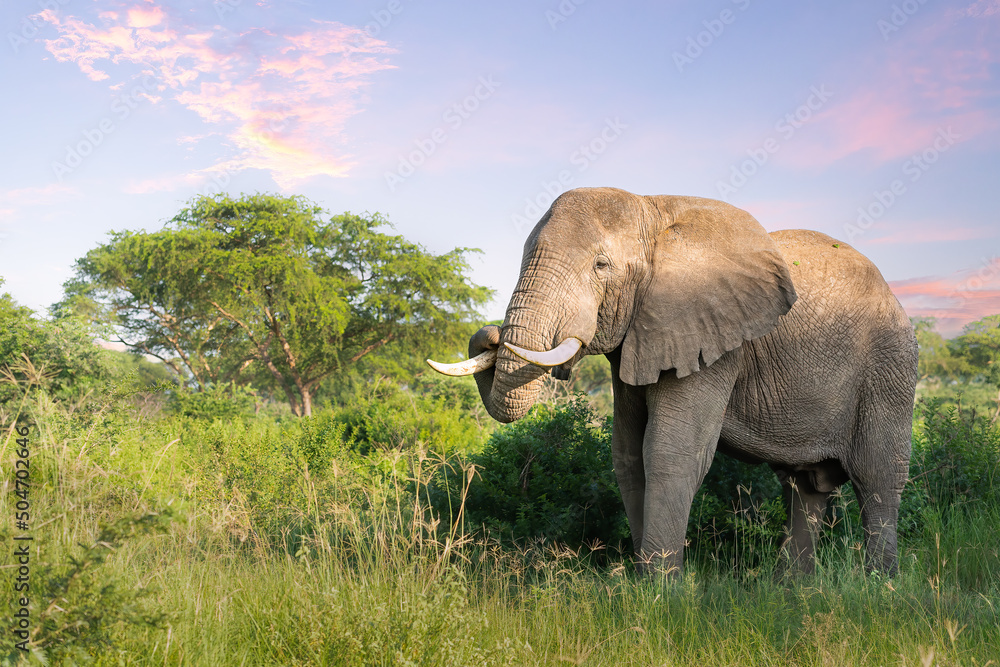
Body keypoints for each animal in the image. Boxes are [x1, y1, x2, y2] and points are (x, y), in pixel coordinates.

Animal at [428, 187, 918, 576]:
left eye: (601, 265)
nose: (490, 334)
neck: (652, 210)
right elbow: (628, 455)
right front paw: (643, 583)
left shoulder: (711, 338)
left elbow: (669, 453)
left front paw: (660, 594)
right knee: (805, 489)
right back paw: (793, 590)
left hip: (888, 369)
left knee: (878, 480)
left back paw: (880, 587)